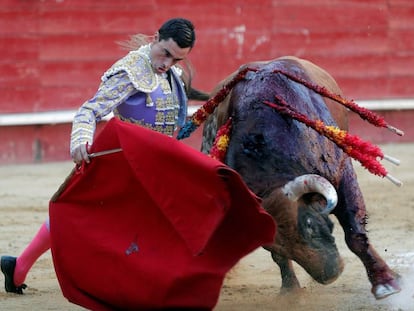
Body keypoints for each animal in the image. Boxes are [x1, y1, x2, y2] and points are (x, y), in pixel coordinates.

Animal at [193, 56, 402, 300]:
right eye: (270, 245)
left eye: (310, 225)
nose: (329, 275)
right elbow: (279, 259)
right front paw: (290, 291)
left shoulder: (343, 174)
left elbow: (355, 235)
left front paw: (385, 283)